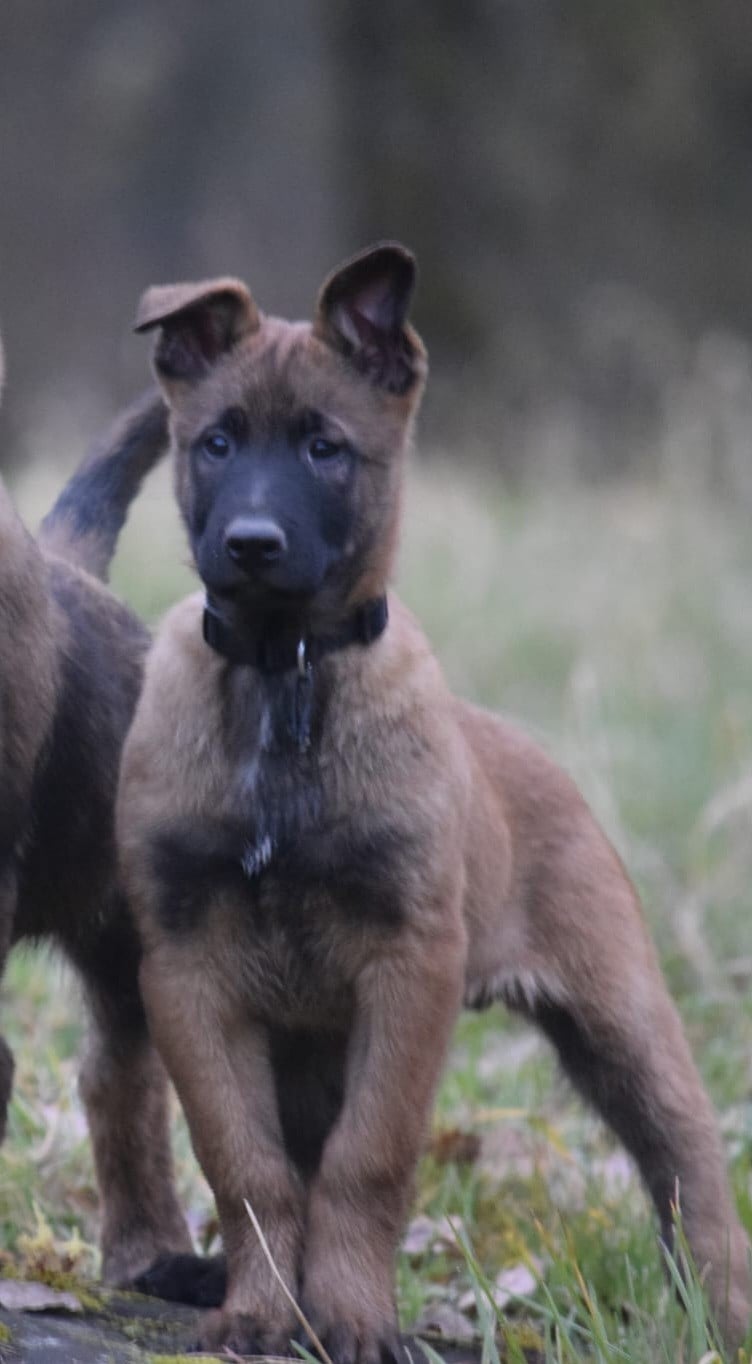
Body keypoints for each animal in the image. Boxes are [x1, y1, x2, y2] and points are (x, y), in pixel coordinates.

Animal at [117, 244, 751, 1360]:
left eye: (325, 447)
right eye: (217, 442)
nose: (250, 541)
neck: (286, 678)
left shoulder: (408, 966)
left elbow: (366, 1163)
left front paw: (353, 1318)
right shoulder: (186, 971)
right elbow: (248, 1166)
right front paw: (261, 1309)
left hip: (622, 1019)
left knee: (690, 1168)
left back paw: (718, 1316)